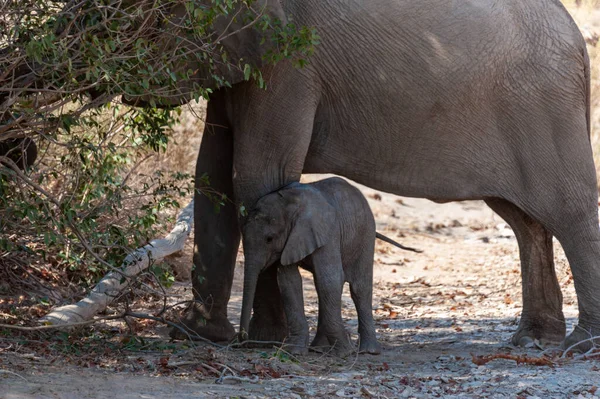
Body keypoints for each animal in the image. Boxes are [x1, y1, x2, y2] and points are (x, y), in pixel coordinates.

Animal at [237, 178, 420, 356]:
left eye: (269, 239)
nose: (243, 342)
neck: (289, 201)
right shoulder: (292, 240)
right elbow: (289, 281)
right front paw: (293, 352)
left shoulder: (327, 232)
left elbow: (330, 279)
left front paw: (345, 352)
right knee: (322, 287)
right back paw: (320, 349)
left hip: (365, 233)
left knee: (359, 288)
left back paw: (368, 351)